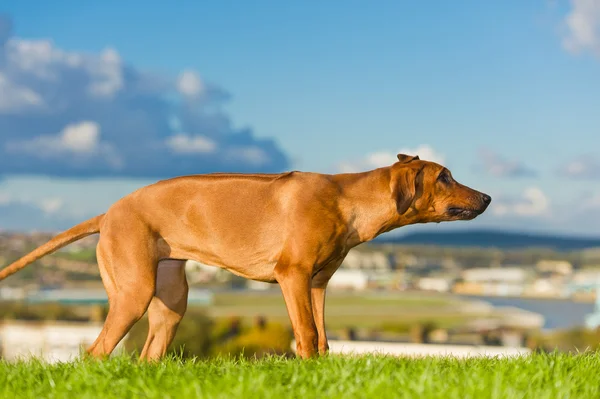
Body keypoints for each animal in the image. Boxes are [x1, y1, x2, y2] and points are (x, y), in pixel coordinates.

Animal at [0, 153, 490, 360]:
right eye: (445, 176)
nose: (486, 197)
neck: (347, 198)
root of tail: (108, 212)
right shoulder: (293, 276)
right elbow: (306, 336)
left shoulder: (318, 283)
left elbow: (324, 338)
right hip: (133, 291)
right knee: (95, 352)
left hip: (170, 300)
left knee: (148, 355)